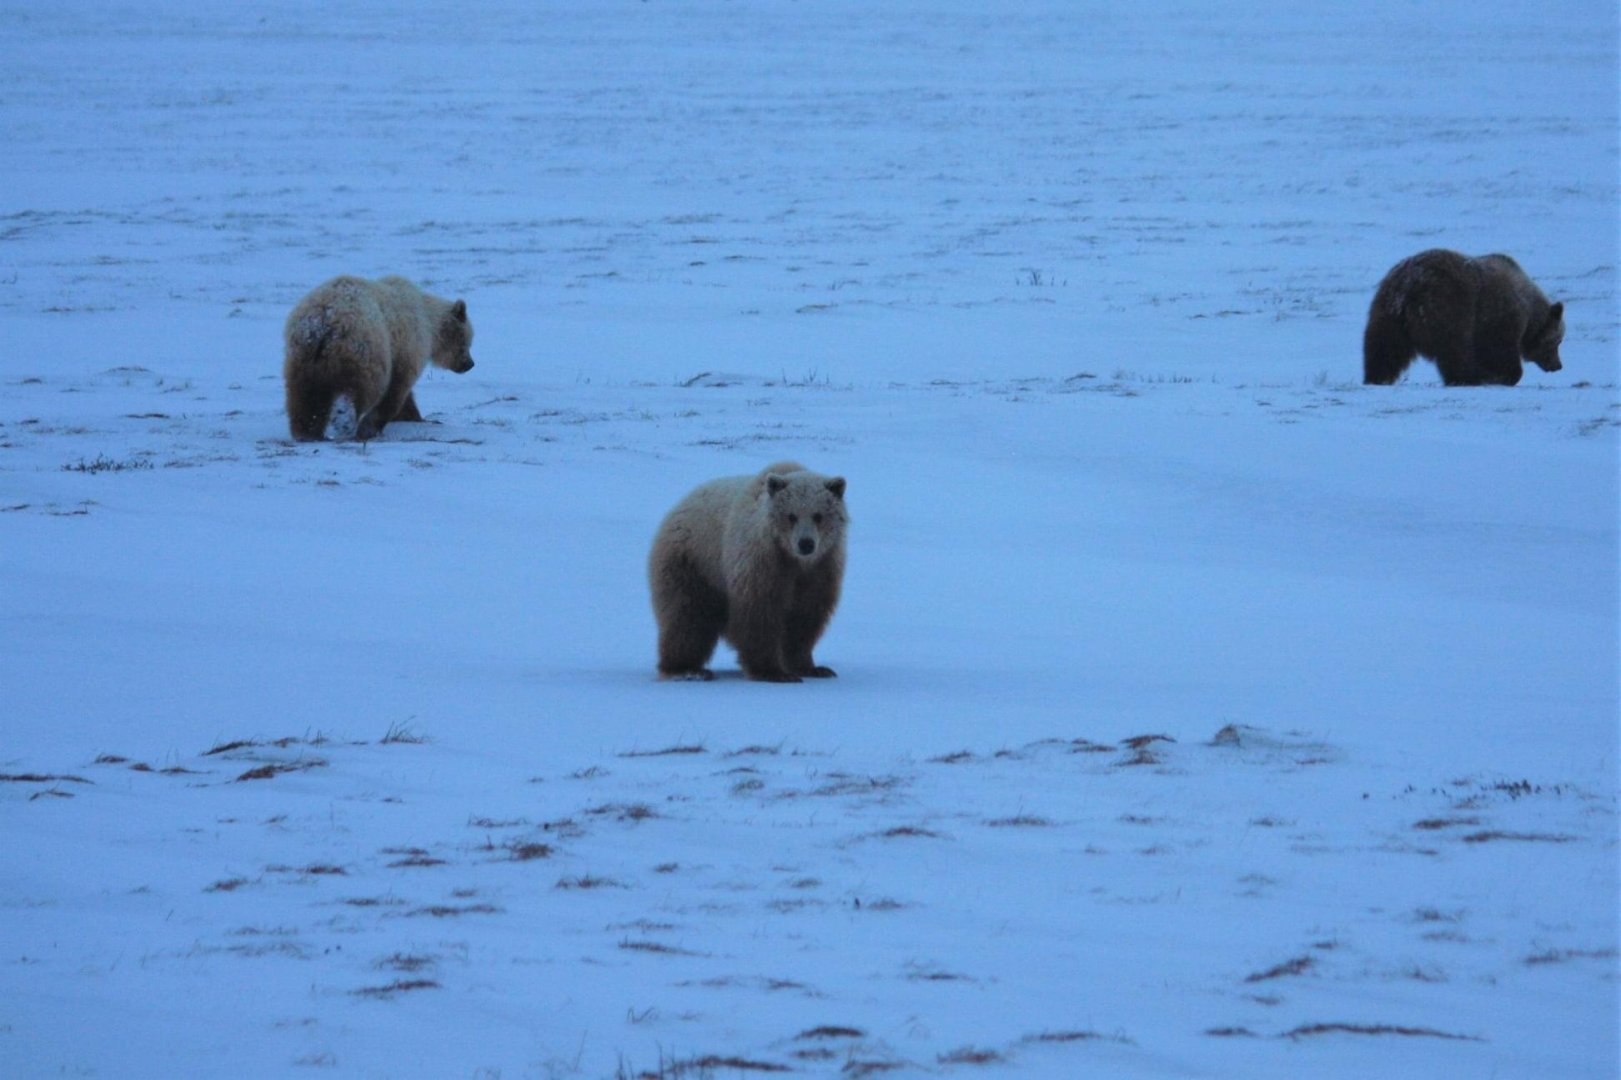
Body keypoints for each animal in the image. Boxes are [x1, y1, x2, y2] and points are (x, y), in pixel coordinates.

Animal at [283, 274, 475, 441]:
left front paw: (414, 416)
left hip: (303, 356)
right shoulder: (406, 346)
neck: (428, 322)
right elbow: (397, 388)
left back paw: (306, 432)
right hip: (364, 347)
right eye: (466, 341)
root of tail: (323, 322)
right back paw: (345, 422)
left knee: (303, 394)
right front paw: (375, 426)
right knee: (361, 387)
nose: (469, 364)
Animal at [649, 461, 848, 683]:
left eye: (818, 515)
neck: (794, 560)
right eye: (791, 516)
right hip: (694, 563)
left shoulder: (820, 569)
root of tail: (676, 508)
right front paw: (772, 671)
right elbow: (759, 612)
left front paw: (812, 667)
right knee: (687, 616)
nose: (806, 544)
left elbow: (805, 615)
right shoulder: (762, 564)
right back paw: (687, 669)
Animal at [1362, 249, 1564, 387]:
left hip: (1387, 312)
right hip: (1451, 306)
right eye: (1557, 341)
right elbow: (1500, 350)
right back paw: (1467, 377)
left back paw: (1376, 377)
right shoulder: (1499, 317)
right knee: (1455, 347)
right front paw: (1499, 376)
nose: (1558, 366)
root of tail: (1410, 285)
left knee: (1383, 348)